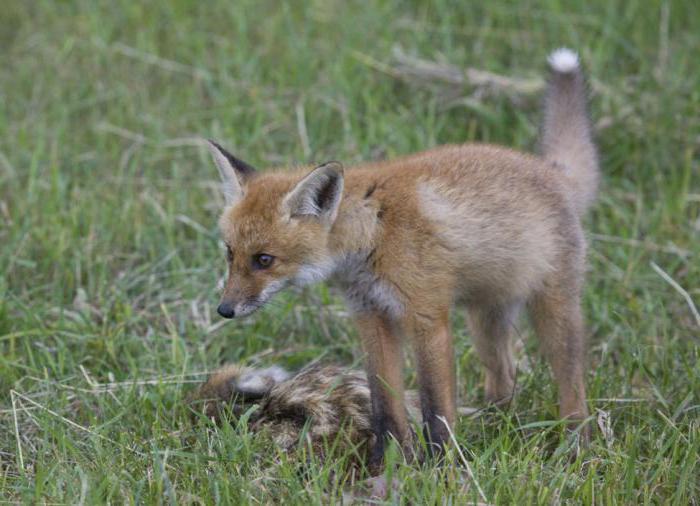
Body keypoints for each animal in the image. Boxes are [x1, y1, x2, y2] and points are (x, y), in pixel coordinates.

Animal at [205, 49, 600, 468]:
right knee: (504, 376)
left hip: (554, 311)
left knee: (572, 384)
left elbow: (436, 409)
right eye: (230, 253)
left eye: (264, 260)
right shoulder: (371, 316)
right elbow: (385, 408)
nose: (225, 310)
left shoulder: (427, 317)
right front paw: (388, 465)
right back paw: (494, 427)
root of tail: (552, 171)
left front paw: (442, 468)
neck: (374, 232)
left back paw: (577, 446)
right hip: (486, 321)